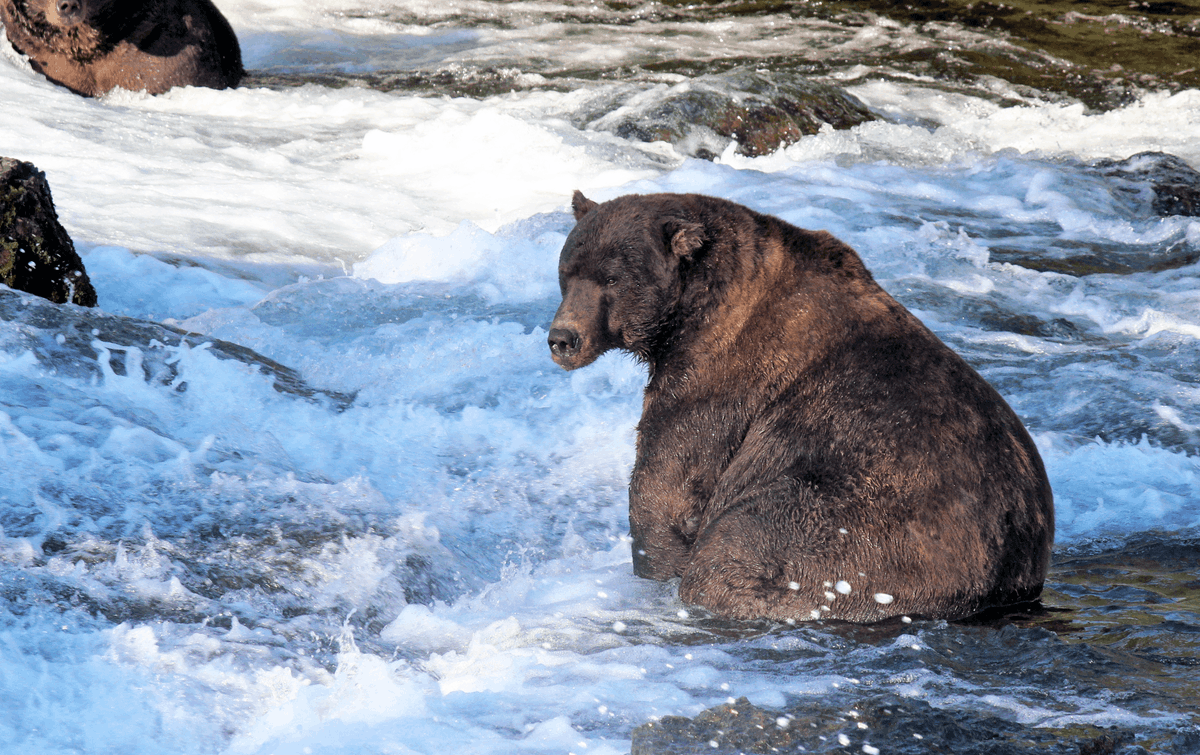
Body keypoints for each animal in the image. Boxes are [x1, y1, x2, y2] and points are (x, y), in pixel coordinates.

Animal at [548, 191, 1054, 623]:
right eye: (566, 272)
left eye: (611, 277)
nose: (562, 338)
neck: (690, 311)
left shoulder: (725, 372)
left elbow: (667, 484)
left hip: (858, 526)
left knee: (737, 546)